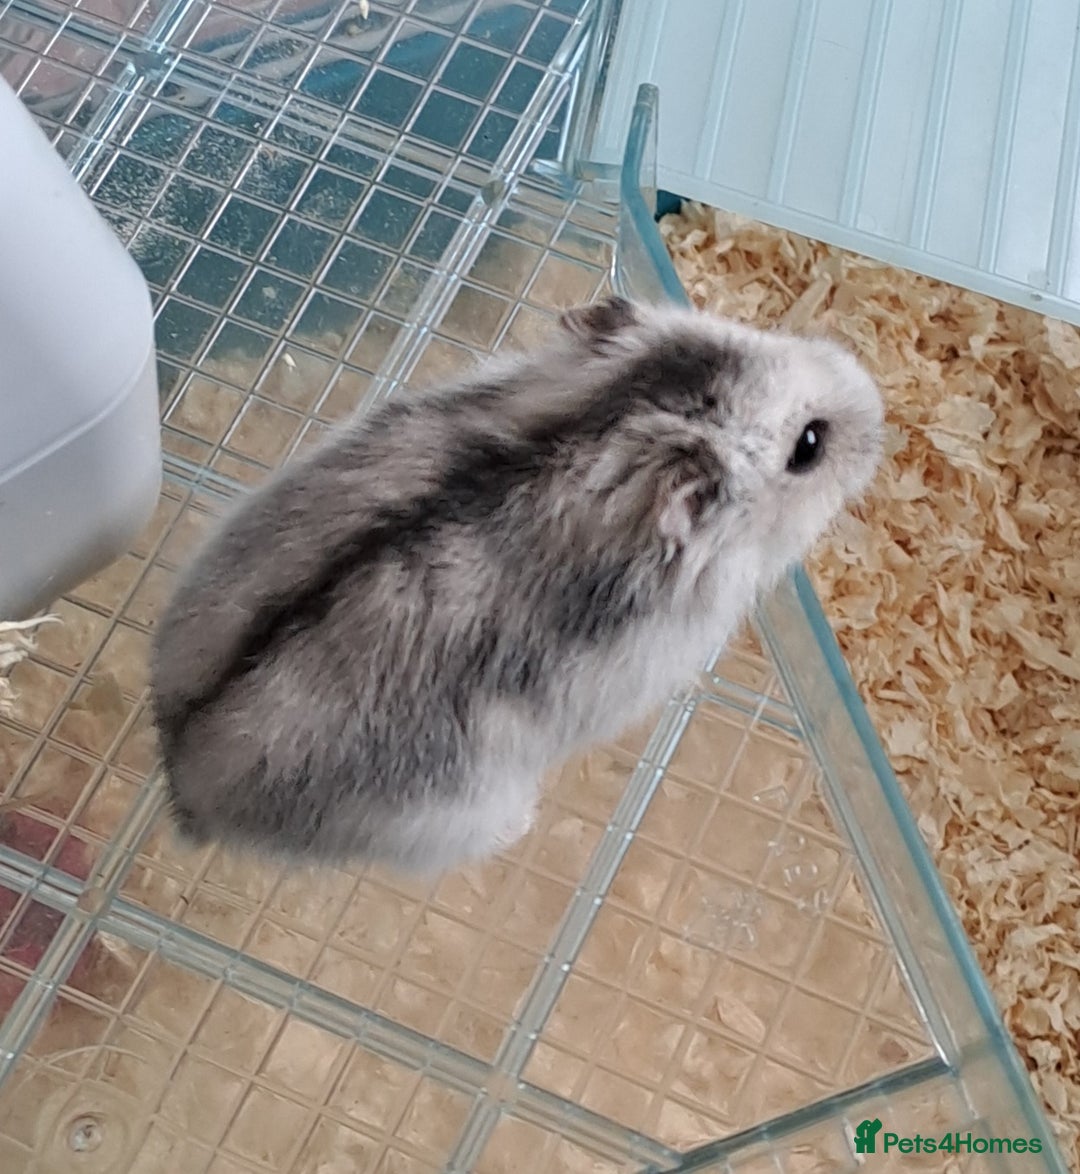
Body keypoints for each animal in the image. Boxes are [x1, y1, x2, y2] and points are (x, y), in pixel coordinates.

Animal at [149, 297, 883, 874]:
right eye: (808, 445)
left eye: (751, 330)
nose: (880, 403)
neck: (606, 425)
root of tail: (181, 781)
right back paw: (521, 824)